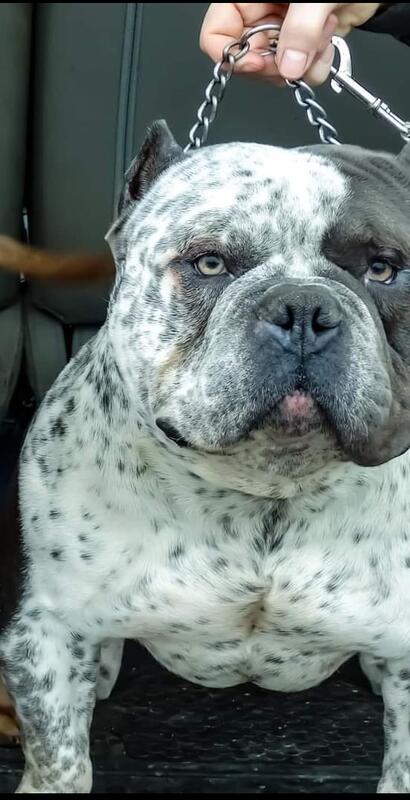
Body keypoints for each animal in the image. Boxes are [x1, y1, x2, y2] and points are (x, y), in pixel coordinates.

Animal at [1, 119, 410, 793]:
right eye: (210, 262)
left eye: (384, 270)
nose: (304, 309)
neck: (267, 492)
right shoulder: (50, 634)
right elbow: (60, 762)